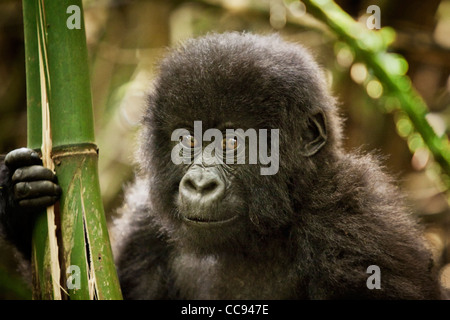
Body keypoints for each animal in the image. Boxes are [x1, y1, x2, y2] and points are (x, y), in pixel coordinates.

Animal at [0, 31, 442, 298]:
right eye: (189, 140)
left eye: (233, 143)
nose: (198, 184)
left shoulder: (359, 231)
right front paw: (18, 199)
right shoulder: (144, 226)